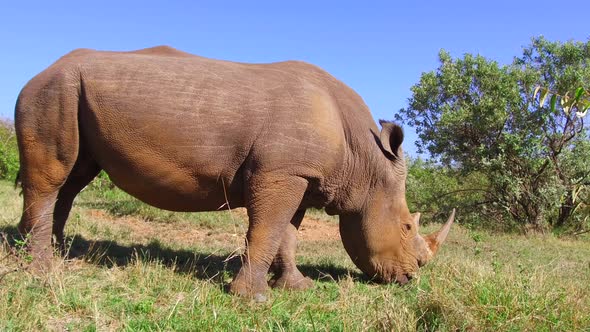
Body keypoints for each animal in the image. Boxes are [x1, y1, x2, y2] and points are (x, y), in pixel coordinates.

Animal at [15, 45, 458, 296]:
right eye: (406, 227)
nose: (410, 279)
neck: (364, 160)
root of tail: (44, 69)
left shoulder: (299, 175)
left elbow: (287, 234)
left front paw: (296, 288)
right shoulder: (281, 172)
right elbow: (267, 229)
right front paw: (253, 298)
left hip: (68, 92)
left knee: (73, 179)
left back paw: (43, 253)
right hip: (54, 90)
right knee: (53, 178)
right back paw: (41, 270)